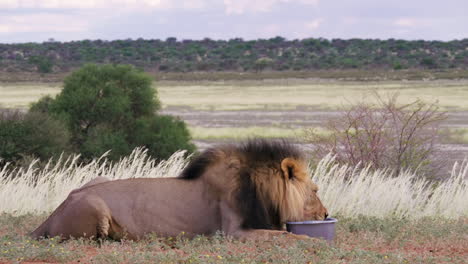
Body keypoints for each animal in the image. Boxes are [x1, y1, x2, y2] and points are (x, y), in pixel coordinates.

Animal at [31, 139, 328, 240]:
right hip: (94, 204)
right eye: (315, 190)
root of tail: (50, 216)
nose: (326, 215)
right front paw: (312, 239)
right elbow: (289, 236)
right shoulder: (232, 232)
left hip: (96, 179)